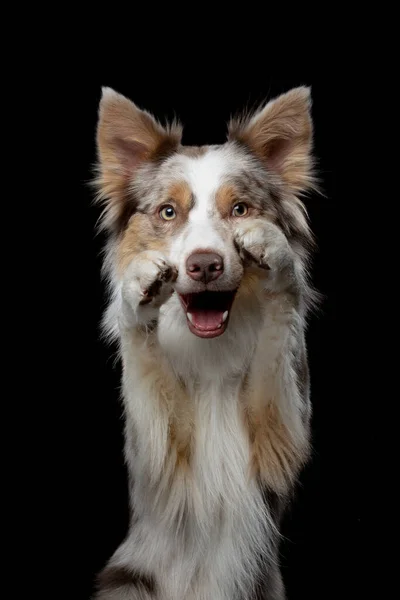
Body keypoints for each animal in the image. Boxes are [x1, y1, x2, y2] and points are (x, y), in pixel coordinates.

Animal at [93, 85, 318, 600]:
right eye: (168, 212)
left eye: (240, 209)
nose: (205, 265)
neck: (213, 356)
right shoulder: (160, 455)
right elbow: (143, 355)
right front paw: (137, 292)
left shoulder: (280, 435)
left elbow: (277, 329)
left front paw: (274, 253)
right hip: (129, 582)